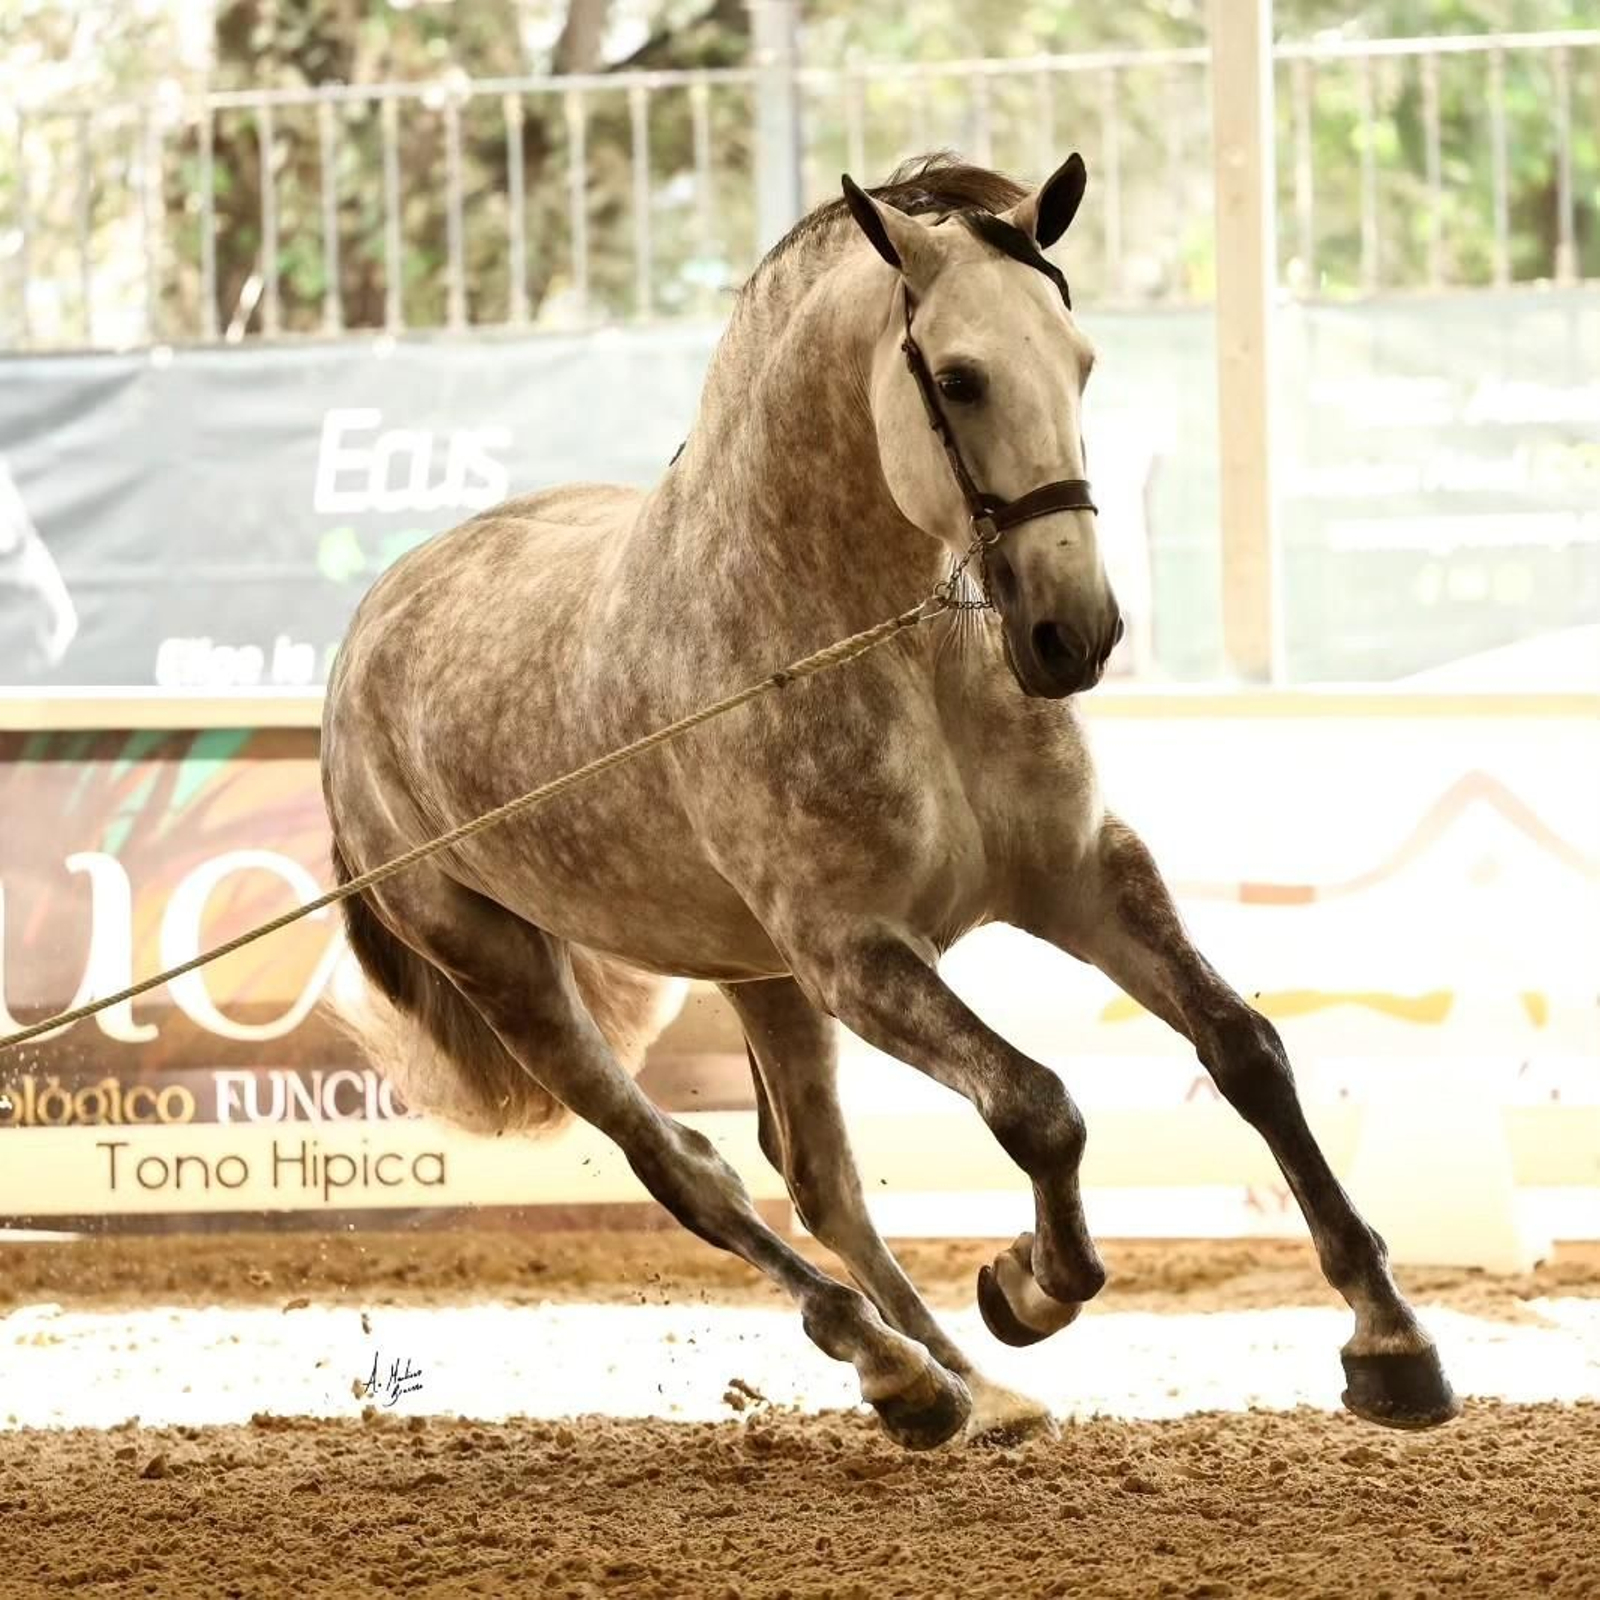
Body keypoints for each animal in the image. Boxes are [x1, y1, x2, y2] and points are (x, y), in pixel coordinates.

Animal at [321, 152, 1460, 1448]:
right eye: (957, 379)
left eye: (1080, 360)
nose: (1076, 633)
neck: (883, 645)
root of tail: (367, 635)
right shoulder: (857, 955)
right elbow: (1038, 1106)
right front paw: (1027, 1284)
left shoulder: (1081, 876)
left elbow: (1245, 1049)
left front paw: (1390, 1340)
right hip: (511, 970)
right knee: (691, 1171)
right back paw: (897, 1367)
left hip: (755, 974)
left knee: (817, 1176)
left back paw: (965, 1384)